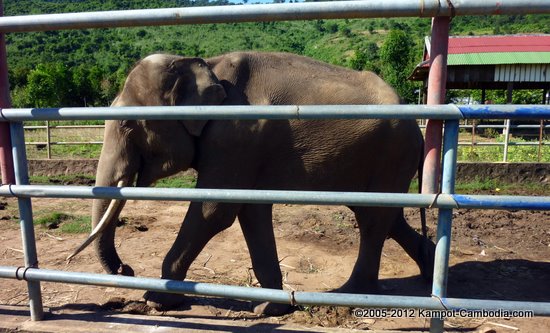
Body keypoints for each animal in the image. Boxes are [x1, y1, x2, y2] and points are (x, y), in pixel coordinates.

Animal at [71, 51, 438, 314]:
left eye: (129, 125)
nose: (127, 270)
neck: (205, 63)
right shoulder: (244, 150)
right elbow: (250, 211)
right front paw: (268, 308)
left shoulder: (235, 136)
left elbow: (214, 211)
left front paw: (156, 299)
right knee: (385, 216)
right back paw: (429, 267)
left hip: (391, 155)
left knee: (374, 219)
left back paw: (349, 295)